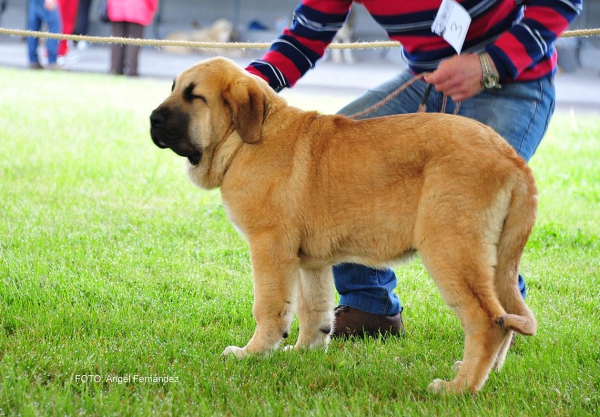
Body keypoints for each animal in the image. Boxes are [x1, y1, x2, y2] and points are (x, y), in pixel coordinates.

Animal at [150, 57, 540, 392]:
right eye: (174, 88)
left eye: (194, 96)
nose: (152, 118)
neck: (246, 139)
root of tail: (511, 158)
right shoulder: (310, 262)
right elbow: (314, 308)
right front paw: (304, 351)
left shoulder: (269, 247)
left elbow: (269, 307)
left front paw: (253, 353)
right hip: (492, 260)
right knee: (507, 316)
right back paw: (482, 373)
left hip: (451, 250)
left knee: (488, 320)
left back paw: (459, 388)